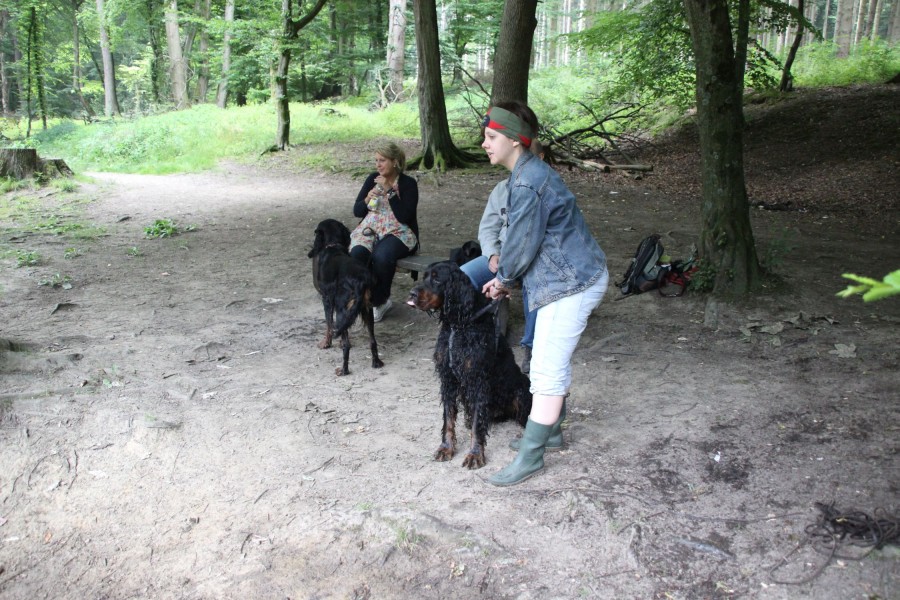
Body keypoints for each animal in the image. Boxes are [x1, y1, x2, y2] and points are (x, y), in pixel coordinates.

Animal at [308, 219, 384, 376]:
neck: (333, 247)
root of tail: (361, 280)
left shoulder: (326, 299)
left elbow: (329, 324)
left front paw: (326, 343)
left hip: (342, 309)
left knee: (347, 345)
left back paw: (343, 370)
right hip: (366, 310)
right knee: (372, 340)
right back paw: (376, 363)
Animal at [407, 261, 532, 469]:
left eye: (437, 279)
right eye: (424, 276)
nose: (411, 294)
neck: (458, 326)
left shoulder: (478, 379)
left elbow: (476, 424)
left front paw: (475, 454)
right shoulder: (448, 379)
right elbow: (449, 418)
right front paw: (446, 448)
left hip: (522, 389)